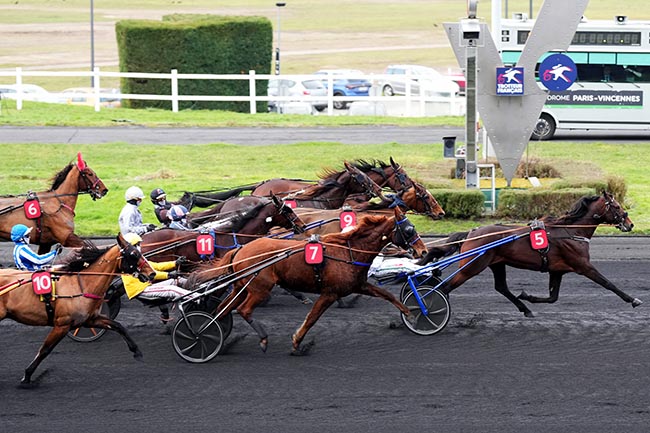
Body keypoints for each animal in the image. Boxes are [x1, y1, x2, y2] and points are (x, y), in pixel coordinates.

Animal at [0, 235, 156, 384]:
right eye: (134, 254)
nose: (152, 273)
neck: (81, 285)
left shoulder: (90, 319)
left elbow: (119, 326)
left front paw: (137, 352)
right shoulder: (62, 325)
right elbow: (45, 350)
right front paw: (27, 376)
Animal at [192, 207, 428, 354]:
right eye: (409, 229)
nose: (423, 251)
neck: (348, 251)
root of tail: (241, 249)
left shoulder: (358, 285)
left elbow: (387, 295)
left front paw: (411, 315)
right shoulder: (330, 293)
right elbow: (312, 318)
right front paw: (297, 342)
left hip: (241, 286)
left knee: (222, 309)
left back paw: (216, 336)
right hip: (260, 288)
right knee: (243, 310)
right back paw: (261, 339)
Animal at [428, 192, 640, 318]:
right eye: (617, 207)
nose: (630, 224)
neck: (571, 231)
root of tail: (471, 233)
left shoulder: (557, 270)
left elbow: (553, 297)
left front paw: (527, 296)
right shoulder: (583, 266)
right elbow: (608, 283)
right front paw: (633, 300)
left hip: (496, 263)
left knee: (501, 287)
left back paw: (525, 308)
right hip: (472, 266)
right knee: (445, 287)